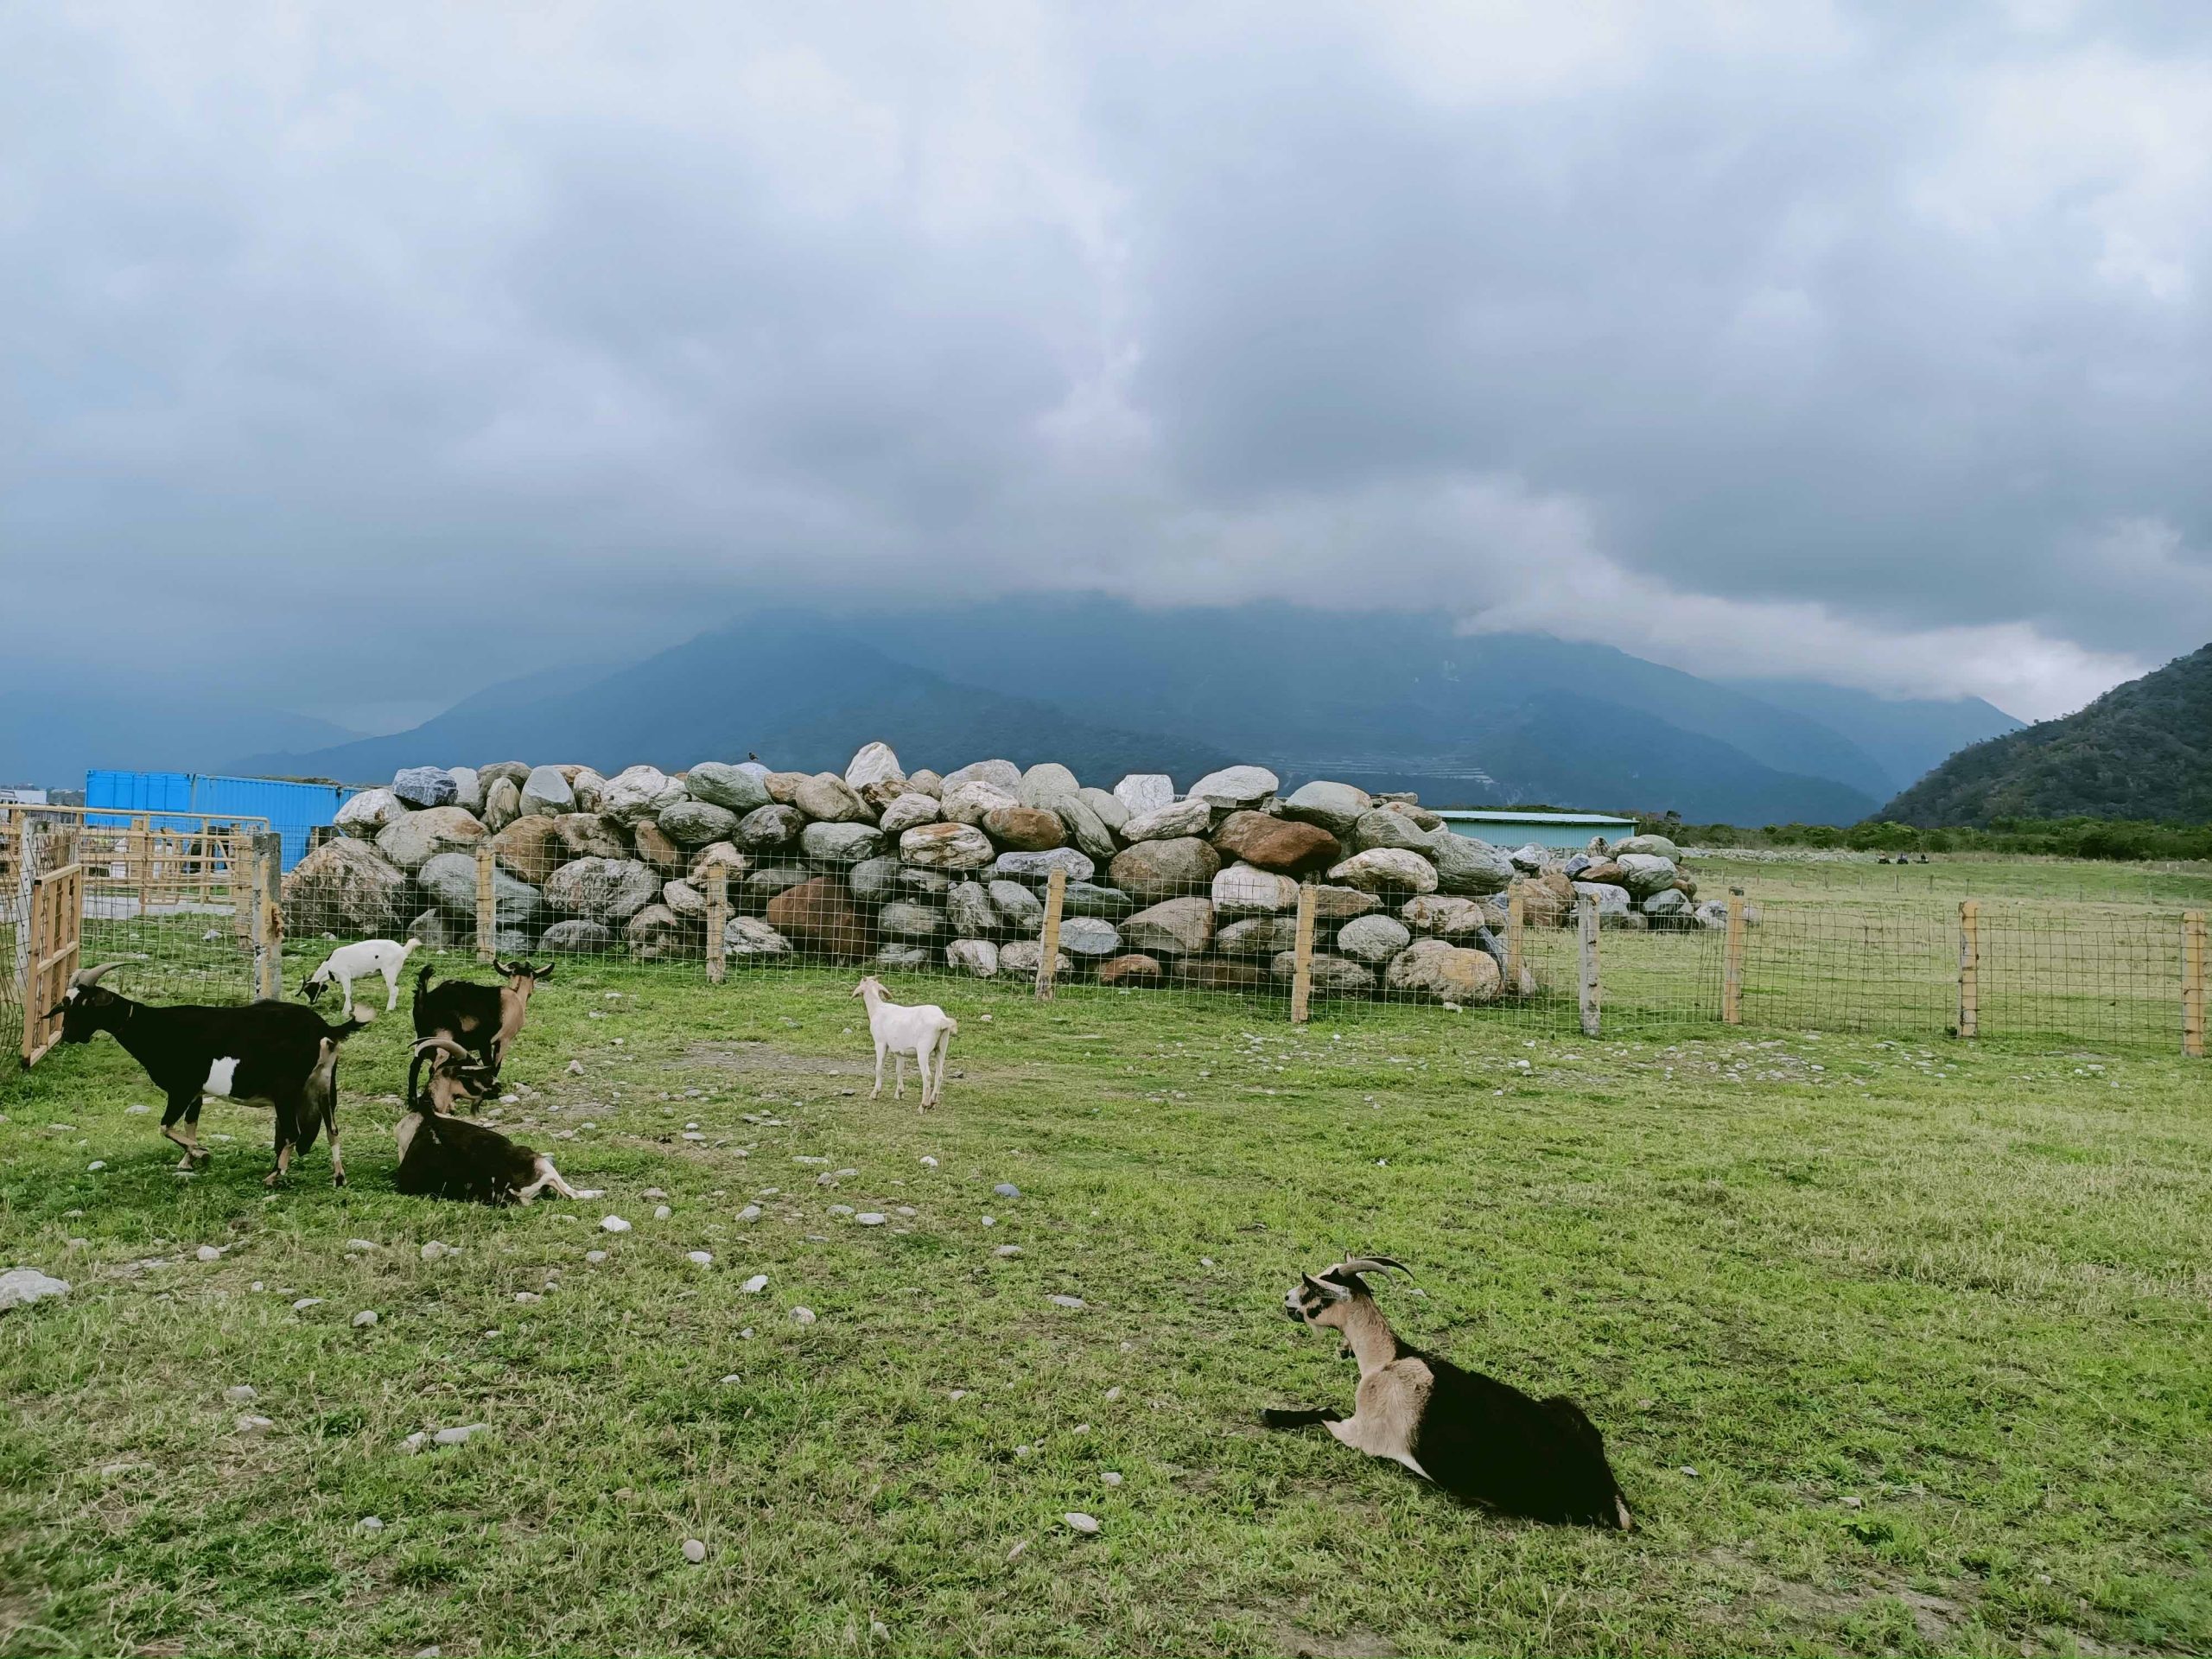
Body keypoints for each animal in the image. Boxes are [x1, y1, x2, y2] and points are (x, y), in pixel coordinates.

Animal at [50, 960, 372, 1185]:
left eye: (85, 1003)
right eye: (65, 1004)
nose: (68, 1035)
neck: (154, 1027)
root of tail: (325, 1029)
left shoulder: (181, 1088)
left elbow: (165, 1126)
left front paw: (201, 1153)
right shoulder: (196, 1093)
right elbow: (190, 1123)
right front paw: (188, 1161)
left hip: (287, 1090)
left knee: (293, 1132)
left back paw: (274, 1176)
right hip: (324, 1084)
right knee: (332, 1128)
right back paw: (339, 1177)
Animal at [301, 942, 420, 1021]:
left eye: (310, 990)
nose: (311, 1003)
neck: (329, 965)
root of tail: (403, 950)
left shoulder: (344, 975)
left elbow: (346, 993)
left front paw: (345, 1013)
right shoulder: (350, 978)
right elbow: (350, 993)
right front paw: (349, 1010)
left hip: (389, 971)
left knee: (394, 990)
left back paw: (388, 1010)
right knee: (395, 989)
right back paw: (392, 1008)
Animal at [413, 955, 553, 1084]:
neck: (516, 994)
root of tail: (426, 998)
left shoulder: (483, 1044)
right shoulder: (503, 1040)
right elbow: (495, 1066)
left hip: (423, 1036)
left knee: (416, 1064)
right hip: (444, 1036)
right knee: (435, 1067)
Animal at [854, 973, 960, 1119]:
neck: (877, 1008)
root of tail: (941, 1021)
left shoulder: (880, 1043)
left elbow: (879, 1067)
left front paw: (875, 1093)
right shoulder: (899, 1050)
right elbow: (899, 1070)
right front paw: (899, 1093)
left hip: (923, 1050)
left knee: (927, 1076)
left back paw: (923, 1105)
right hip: (942, 1047)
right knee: (939, 1075)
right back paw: (932, 1103)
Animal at [1265, 1256, 1645, 1530]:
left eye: (1312, 1287)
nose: (1285, 1298)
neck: (1386, 1360)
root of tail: (1610, 1499)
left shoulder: (1362, 1433)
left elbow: (1324, 1412)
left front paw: (1271, 1413)